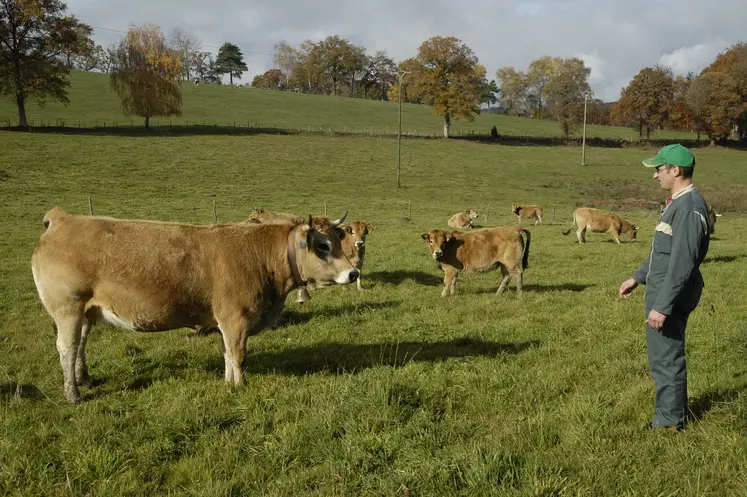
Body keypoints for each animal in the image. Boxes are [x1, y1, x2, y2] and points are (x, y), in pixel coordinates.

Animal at [33, 207, 360, 402]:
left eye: (336, 239)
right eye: (323, 245)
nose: (353, 273)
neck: (259, 254)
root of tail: (62, 218)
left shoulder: (224, 322)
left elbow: (226, 353)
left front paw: (228, 382)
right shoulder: (235, 319)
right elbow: (238, 354)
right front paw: (239, 386)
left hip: (86, 312)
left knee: (81, 345)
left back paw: (84, 378)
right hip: (67, 310)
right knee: (67, 348)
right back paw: (73, 392)